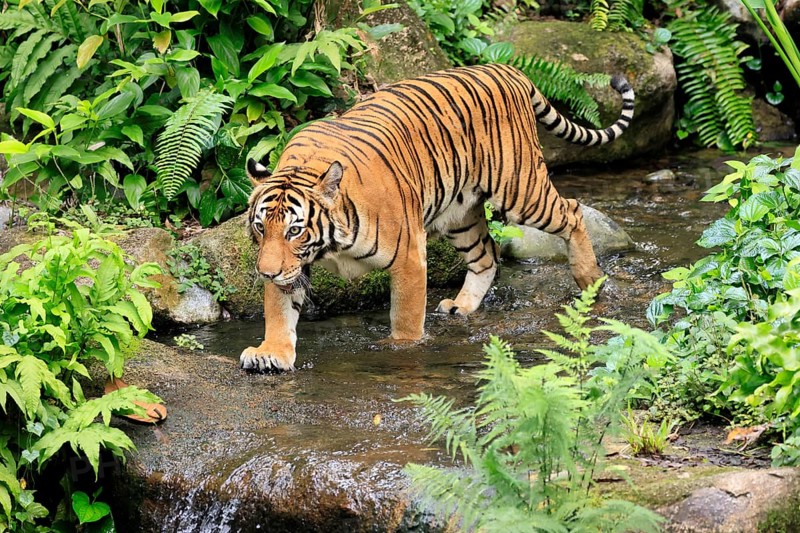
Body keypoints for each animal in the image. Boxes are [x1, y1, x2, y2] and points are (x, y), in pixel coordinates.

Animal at [241, 63, 634, 372]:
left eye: (295, 231)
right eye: (261, 228)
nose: (265, 273)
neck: (330, 245)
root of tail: (507, 69)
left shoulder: (408, 257)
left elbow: (406, 316)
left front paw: (400, 351)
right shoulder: (290, 267)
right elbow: (279, 311)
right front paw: (271, 353)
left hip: (521, 191)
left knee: (573, 210)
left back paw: (590, 279)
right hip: (459, 216)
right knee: (486, 254)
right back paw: (462, 305)